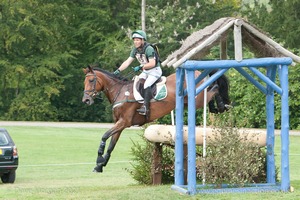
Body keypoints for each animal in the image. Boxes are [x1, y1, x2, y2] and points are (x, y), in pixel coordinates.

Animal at [82, 65, 230, 173]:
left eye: (91, 80)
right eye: (85, 81)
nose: (86, 100)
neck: (120, 92)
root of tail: (198, 72)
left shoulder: (124, 122)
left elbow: (104, 136)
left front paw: (99, 158)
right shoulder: (119, 124)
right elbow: (111, 145)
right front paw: (100, 165)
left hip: (197, 98)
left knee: (214, 88)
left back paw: (221, 105)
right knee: (210, 91)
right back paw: (215, 108)